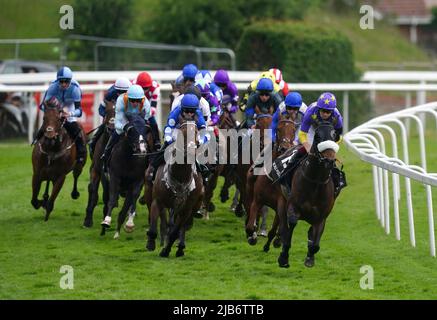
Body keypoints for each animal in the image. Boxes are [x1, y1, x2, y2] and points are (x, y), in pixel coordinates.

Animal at [82, 100, 115, 228]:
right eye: (107, 111)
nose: (111, 128)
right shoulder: (96, 169)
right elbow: (92, 189)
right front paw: (87, 219)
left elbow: (107, 193)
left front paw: (105, 214)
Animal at [145, 120, 203, 258]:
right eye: (183, 132)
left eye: (196, 132)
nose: (191, 150)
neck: (180, 177)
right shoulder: (158, 201)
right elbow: (154, 227)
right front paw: (151, 243)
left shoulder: (186, 209)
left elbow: (175, 232)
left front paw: (166, 250)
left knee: (181, 227)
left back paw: (180, 246)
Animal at [278, 121, 338, 268]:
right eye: (317, 136)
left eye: (335, 136)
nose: (329, 160)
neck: (315, 181)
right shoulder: (293, 206)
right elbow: (291, 225)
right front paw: (283, 257)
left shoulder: (321, 217)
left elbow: (315, 245)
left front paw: (310, 258)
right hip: (282, 201)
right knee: (283, 225)